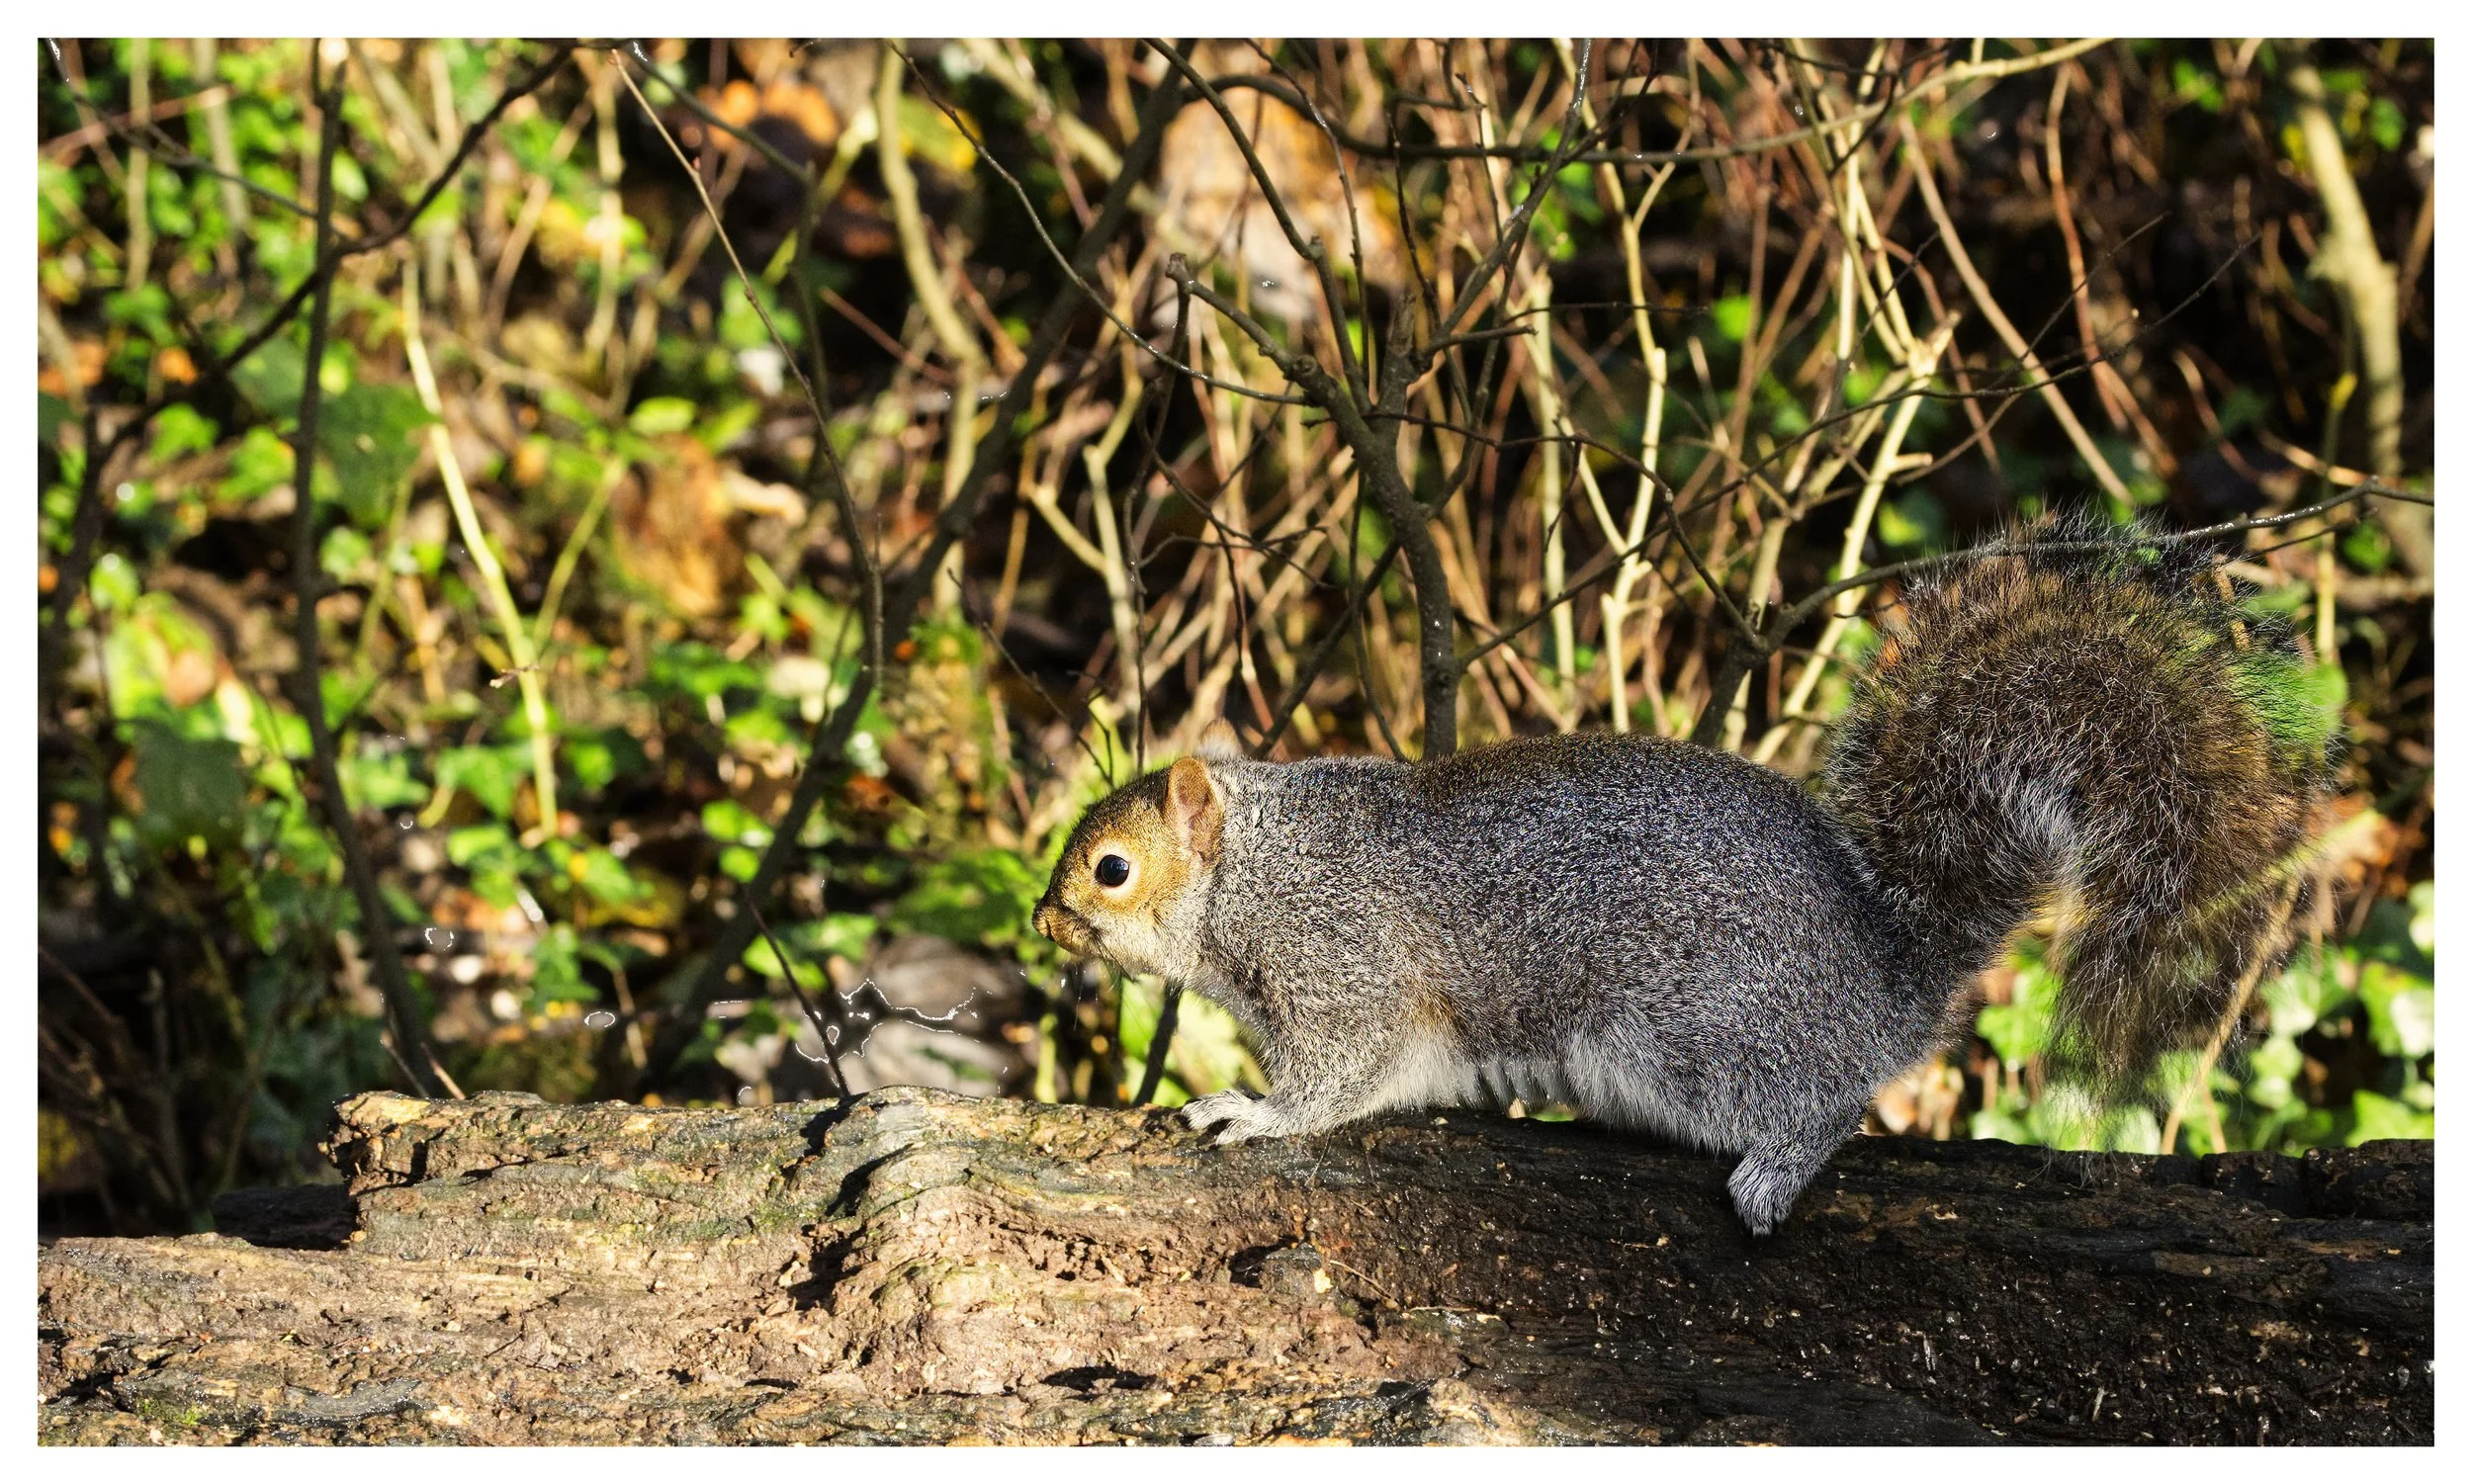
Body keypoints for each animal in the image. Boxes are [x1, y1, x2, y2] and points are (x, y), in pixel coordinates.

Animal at [1030, 534, 2337, 1234]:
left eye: (1111, 869)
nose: (1043, 920)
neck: (1257, 865)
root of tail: (1889, 981)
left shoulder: (1341, 963)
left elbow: (1337, 1075)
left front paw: (1246, 1110)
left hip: (1697, 1037)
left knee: (1824, 1102)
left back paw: (1774, 1169)